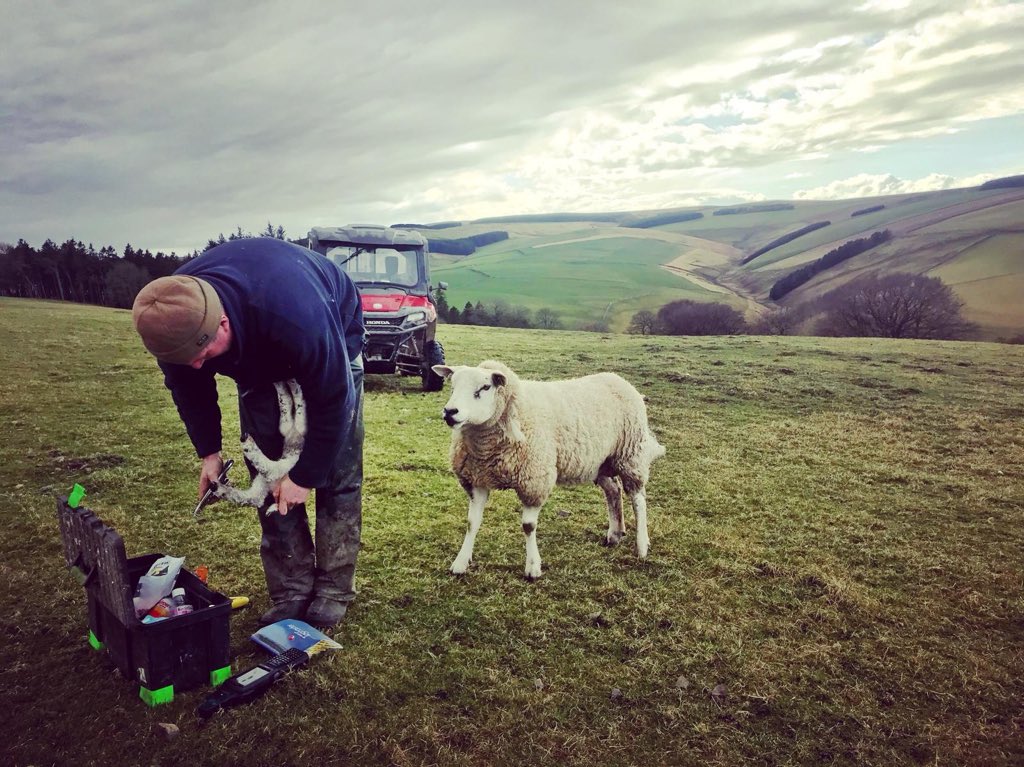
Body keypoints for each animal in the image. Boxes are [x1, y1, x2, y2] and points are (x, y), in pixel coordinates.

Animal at [430, 362, 663, 577]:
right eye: (452, 386)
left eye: (485, 387)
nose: (450, 412)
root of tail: (618, 379)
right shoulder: (477, 479)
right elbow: (472, 523)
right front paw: (461, 563)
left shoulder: (534, 480)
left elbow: (528, 526)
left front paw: (533, 567)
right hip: (599, 463)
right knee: (614, 490)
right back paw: (615, 534)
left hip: (631, 455)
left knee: (638, 500)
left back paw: (642, 546)